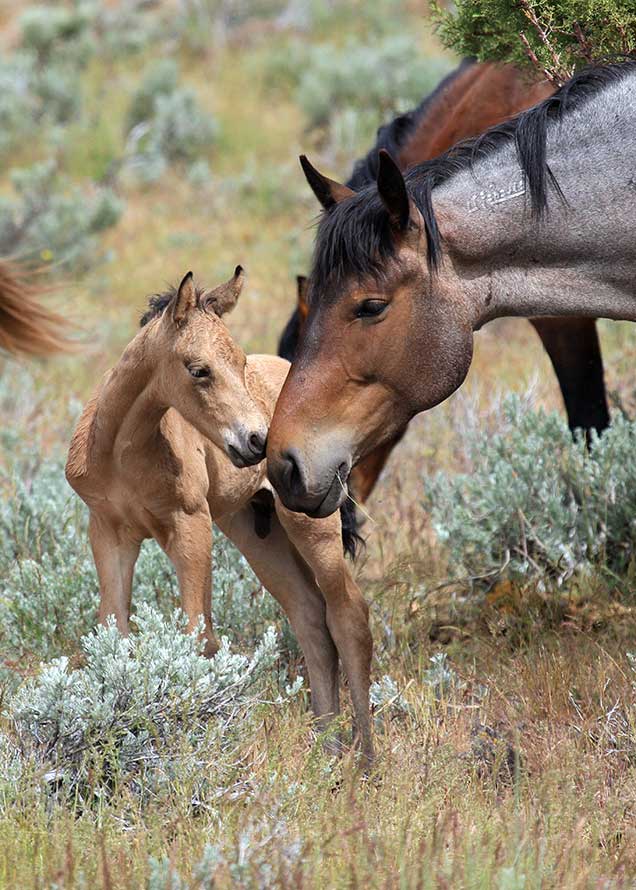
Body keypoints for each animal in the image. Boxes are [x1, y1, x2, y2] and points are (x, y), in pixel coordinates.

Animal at [66, 268, 372, 760]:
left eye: (241, 361)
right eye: (199, 370)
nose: (258, 442)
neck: (121, 453)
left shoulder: (189, 525)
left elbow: (198, 638)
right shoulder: (109, 532)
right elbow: (114, 635)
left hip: (310, 525)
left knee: (349, 613)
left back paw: (364, 759)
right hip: (256, 533)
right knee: (309, 617)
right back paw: (327, 748)